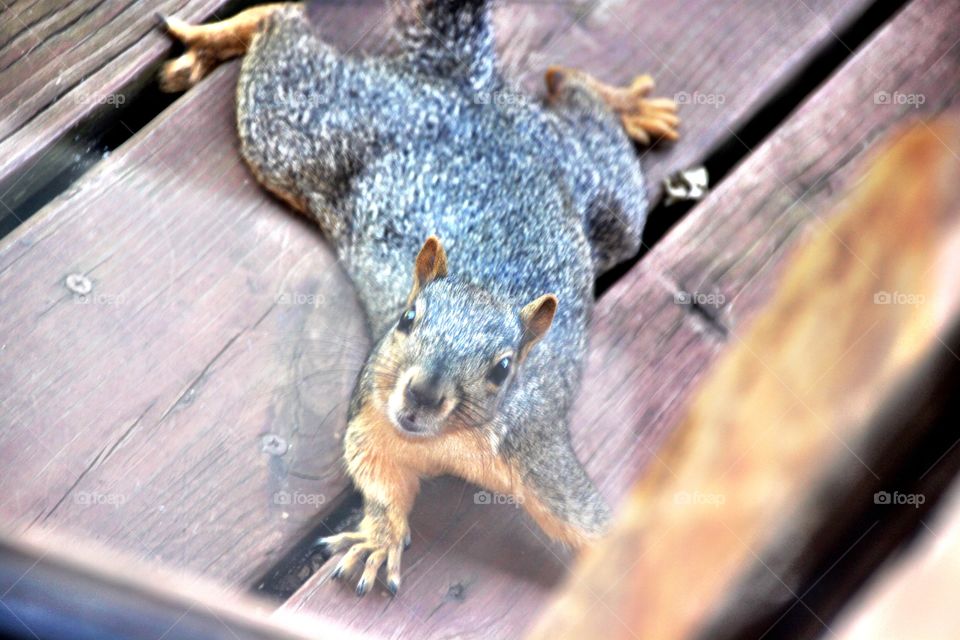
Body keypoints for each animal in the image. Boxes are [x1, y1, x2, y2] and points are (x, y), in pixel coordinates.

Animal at [161, 1, 680, 596]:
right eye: (407, 318)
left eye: (503, 367)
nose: (423, 393)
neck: (443, 444)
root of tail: (463, 85)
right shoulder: (369, 418)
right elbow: (378, 479)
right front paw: (379, 538)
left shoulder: (536, 454)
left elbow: (595, 523)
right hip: (302, 129)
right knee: (285, 31)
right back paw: (218, 37)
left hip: (604, 198)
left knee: (586, 125)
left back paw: (619, 102)